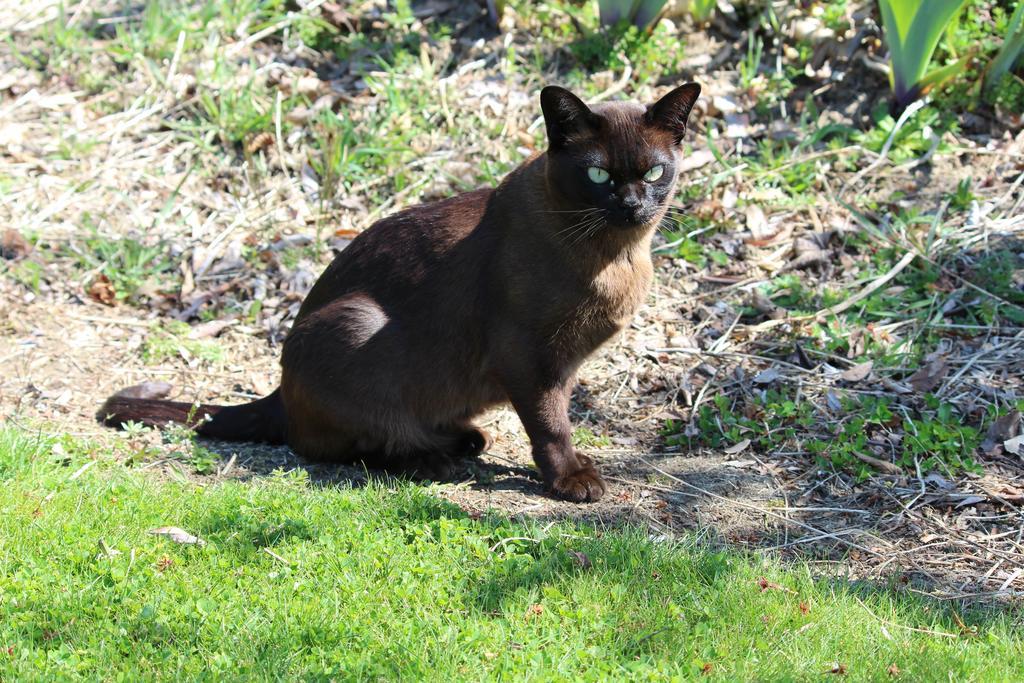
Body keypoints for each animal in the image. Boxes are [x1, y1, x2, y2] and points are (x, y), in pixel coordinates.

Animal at [99, 82, 700, 505]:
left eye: (653, 173)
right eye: (598, 176)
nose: (631, 204)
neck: (616, 255)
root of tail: (279, 392)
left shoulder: (563, 365)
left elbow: (556, 420)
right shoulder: (528, 359)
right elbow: (551, 427)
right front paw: (571, 481)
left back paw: (459, 441)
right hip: (356, 323)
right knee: (342, 447)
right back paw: (432, 461)